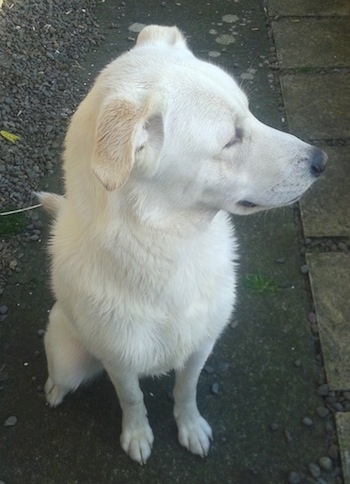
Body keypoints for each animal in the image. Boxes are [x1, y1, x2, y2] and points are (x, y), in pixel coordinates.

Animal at [39, 24, 328, 464]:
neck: (169, 247)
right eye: (231, 139)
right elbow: (132, 399)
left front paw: (190, 428)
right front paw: (137, 435)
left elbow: (185, 390)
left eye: (250, 113)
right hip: (70, 354)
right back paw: (54, 389)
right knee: (63, 372)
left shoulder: (200, 344)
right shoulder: (119, 361)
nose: (321, 160)